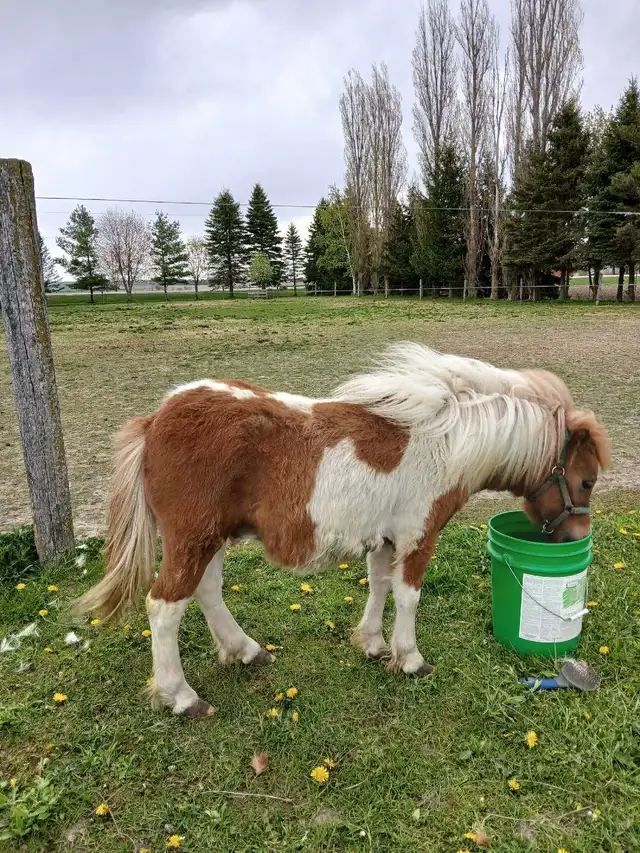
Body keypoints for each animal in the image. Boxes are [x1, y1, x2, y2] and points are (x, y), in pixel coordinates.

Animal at [75, 343, 611, 718]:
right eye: (586, 480)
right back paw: (182, 697)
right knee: (165, 607)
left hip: (210, 538)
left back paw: (245, 650)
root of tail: (154, 421)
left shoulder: (386, 539)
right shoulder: (418, 537)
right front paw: (409, 658)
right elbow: (408, 596)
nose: (573, 539)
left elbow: (378, 586)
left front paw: (372, 643)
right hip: (192, 538)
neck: (446, 440)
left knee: (206, 592)